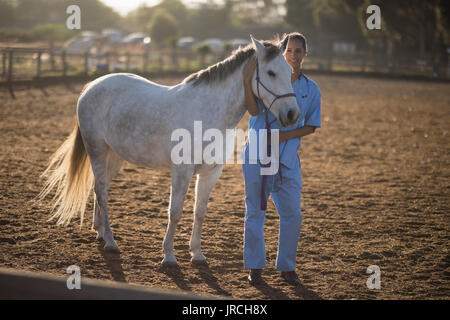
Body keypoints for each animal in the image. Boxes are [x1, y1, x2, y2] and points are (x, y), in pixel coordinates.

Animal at [38, 35, 298, 264]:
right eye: (271, 73)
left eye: (289, 72)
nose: (292, 114)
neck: (209, 112)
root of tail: (91, 86)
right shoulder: (182, 171)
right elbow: (175, 211)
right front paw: (169, 256)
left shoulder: (211, 173)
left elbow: (199, 212)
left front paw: (197, 254)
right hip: (97, 150)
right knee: (102, 192)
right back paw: (111, 242)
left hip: (114, 156)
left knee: (98, 188)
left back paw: (100, 232)